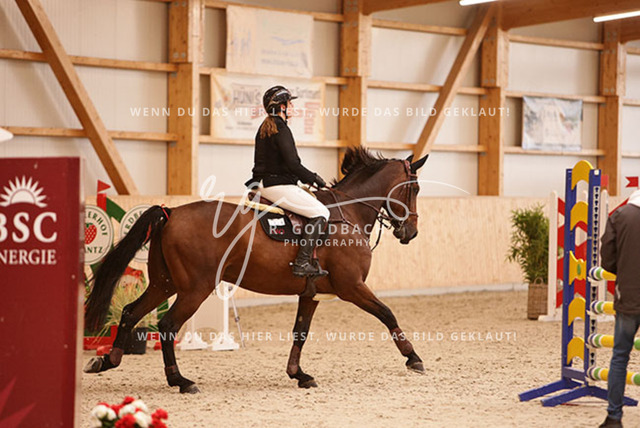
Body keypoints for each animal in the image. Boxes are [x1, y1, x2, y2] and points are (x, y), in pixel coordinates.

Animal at [84, 147, 429, 393]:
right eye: (414, 189)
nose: (411, 233)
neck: (350, 212)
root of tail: (171, 213)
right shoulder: (352, 287)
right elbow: (387, 314)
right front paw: (413, 357)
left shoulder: (311, 293)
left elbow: (300, 332)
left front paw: (299, 374)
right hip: (195, 289)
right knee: (168, 325)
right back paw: (180, 381)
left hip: (164, 284)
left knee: (130, 312)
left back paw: (107, 360)